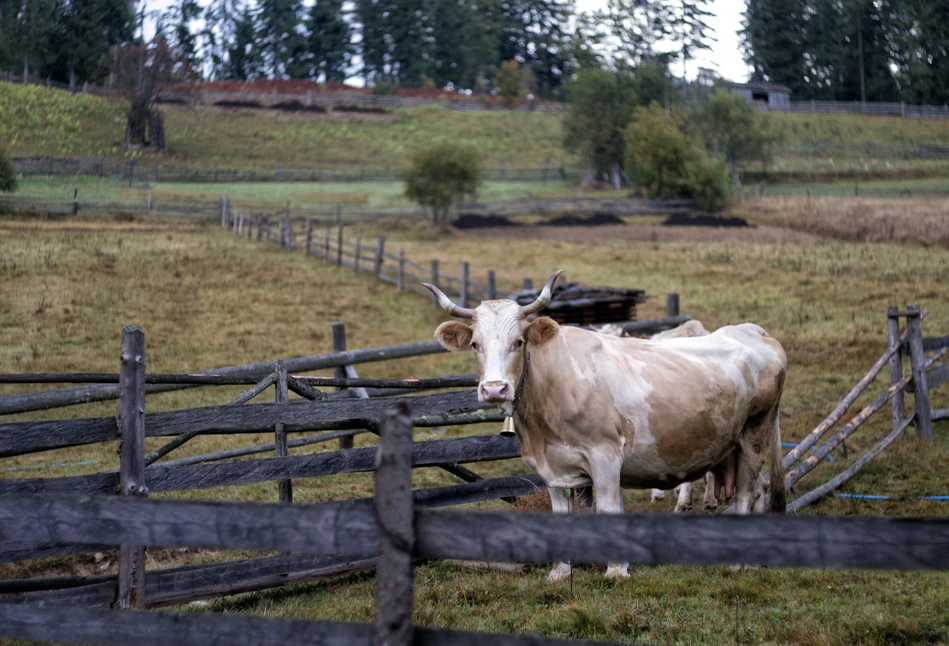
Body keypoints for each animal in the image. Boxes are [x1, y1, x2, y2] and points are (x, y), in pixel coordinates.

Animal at [426, 272, 788, 584]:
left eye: (518, 341)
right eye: (475, 344)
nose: (494, 389)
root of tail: (752, 331)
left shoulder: (606, 456)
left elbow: (609, 509)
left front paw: (616, 570)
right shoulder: (551, 468)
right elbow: (559, 516)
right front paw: (560, 572)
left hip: (755, 433)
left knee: (748, 490)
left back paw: (738, 562)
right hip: (732, 443)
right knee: (757, 489)